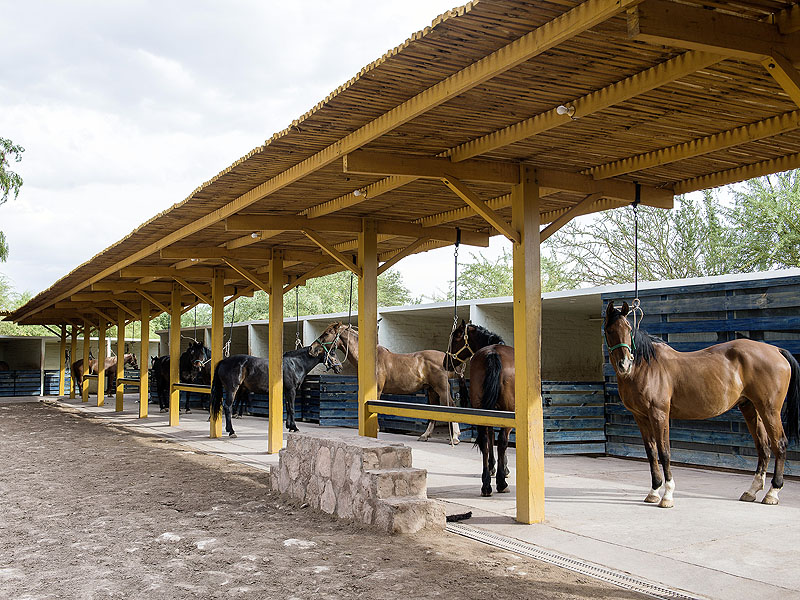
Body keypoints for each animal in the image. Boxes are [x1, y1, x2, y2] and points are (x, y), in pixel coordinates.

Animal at [211, 346, 342, 436]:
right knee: (227, 407)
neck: (295, 364)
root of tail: (223, 361)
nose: (340, 368)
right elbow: (292, 409)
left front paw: (289, 426)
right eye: (332, 353)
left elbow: (288, 408)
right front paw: (295, 427)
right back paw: (231, 431)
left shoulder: (286, 391)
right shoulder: (291, 390)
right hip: (232, 389)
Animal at [310, 324, 462, 446]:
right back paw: (425, 435)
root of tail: (446, 359)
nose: (312, 348)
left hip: (441, 388)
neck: (371, 359)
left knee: (452, 406)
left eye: (327, 333)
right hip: (431, 390)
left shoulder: (376, 390)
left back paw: (454, 438)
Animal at [444, 318, 512, 496]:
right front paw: (502, 468)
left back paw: (486, 484)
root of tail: (493, 353)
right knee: (502, 441)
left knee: (485, 441)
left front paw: (492, 467)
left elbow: (490, 437)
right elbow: (498, 440)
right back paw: (500, 483)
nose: (445, 362)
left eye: (456, 337)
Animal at [608, 300, 800, 506]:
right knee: (763, 446)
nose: (625, 364)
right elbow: (651, 452)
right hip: (750, 407)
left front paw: (667, 495)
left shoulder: (659, 414)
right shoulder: (640, 417)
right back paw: (751, 491)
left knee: (779, 444)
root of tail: (776, 350)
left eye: (629, 329)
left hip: (769, 409)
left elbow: (664, 451)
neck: (646, 366)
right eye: (610, 330)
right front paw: (653, 491)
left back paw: (773, 492)